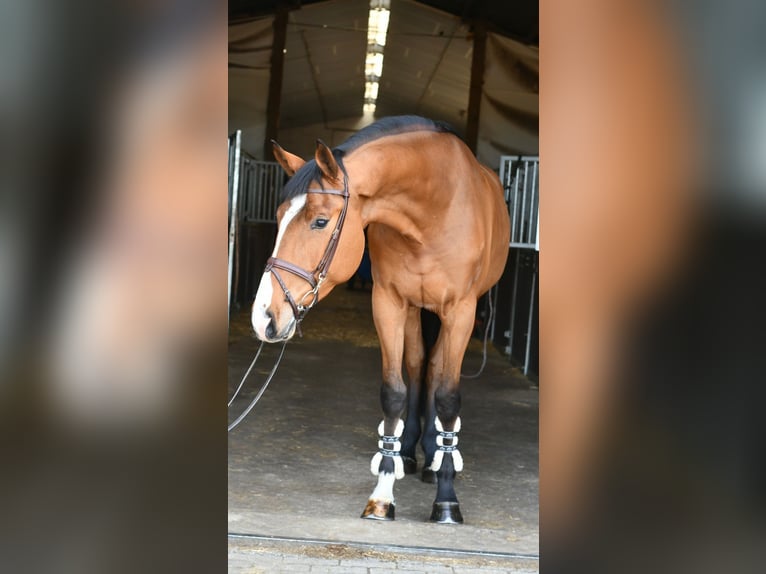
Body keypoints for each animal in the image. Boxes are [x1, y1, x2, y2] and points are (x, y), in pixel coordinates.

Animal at [251, 116, 510, 523]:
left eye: (320, 221)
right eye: (277, 218)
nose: (264, 317)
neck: (433, 208)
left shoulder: (460, 310)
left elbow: (448, 398)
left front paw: (446, 500)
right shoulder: (389, 303)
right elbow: (394, 392)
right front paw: (383, 494)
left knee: (435, 369)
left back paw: (435, 459)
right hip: (415, 310)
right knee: (419, 365)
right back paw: (411, 451)